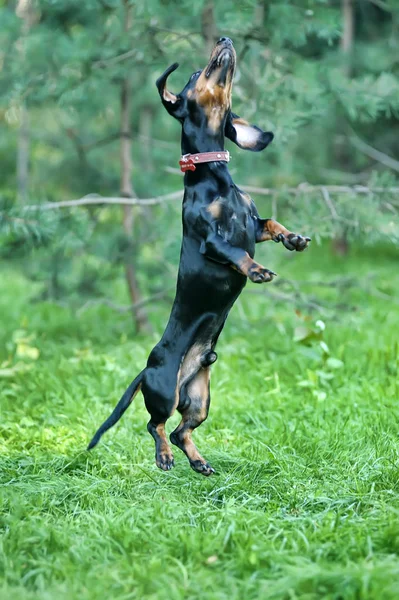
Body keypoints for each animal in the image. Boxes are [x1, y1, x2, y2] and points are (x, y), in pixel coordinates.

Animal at [88, 38, 312, 478]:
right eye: (195, 74)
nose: (225, 40)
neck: (214, 179)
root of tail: (147, 368)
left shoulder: (253, 224)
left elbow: (272, 223)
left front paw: (293, 239)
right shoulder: (210, 239)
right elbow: (237, 253)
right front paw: (258, 270)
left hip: (199, 396)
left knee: (181, 430)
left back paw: (198, 461)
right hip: (164, 391)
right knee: (155, 425)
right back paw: (164, 457)